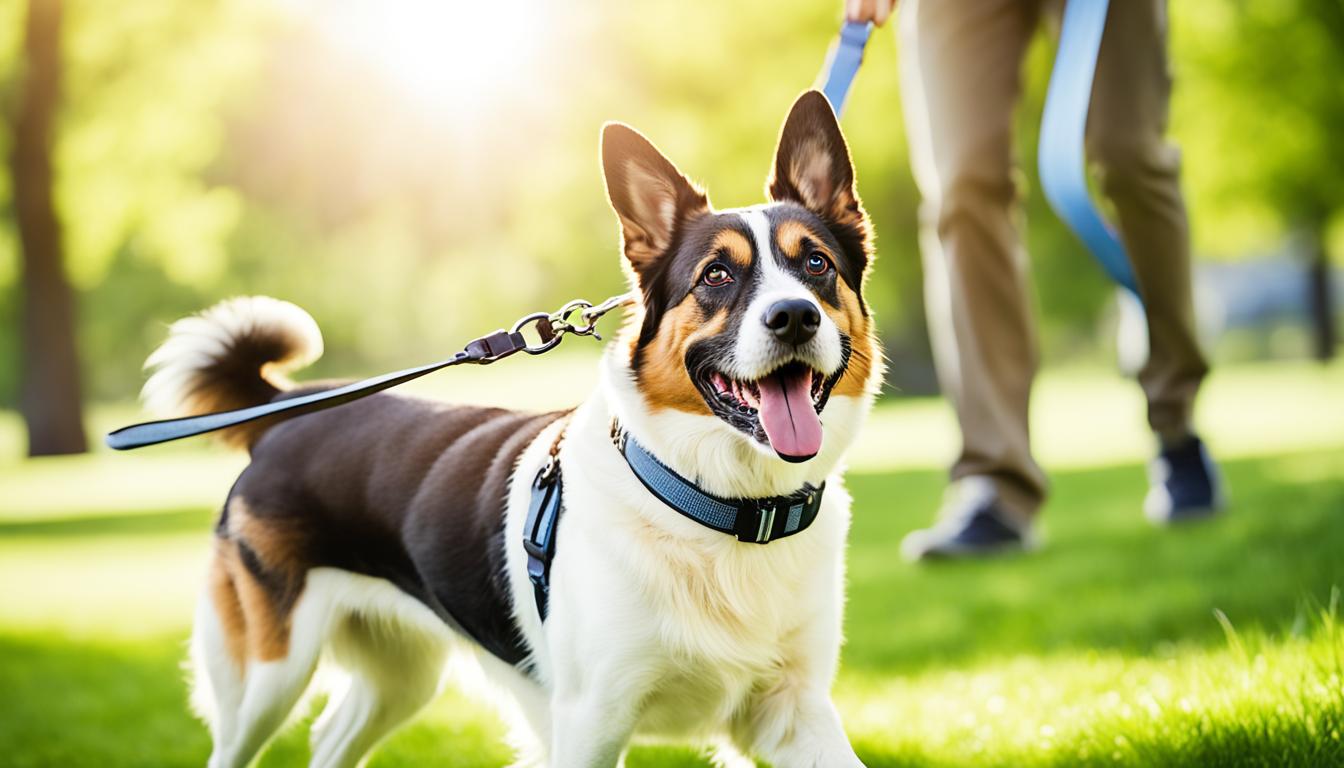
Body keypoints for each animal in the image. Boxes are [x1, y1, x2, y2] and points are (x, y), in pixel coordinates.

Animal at [149, 91, 881, 768]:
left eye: (816, 264)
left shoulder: (793, 712)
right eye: (718, 275)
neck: (722, 504)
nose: (794, 317)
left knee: (331, 739)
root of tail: (286, 410)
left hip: (400, 676)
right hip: (266, 680)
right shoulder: (589, 722)